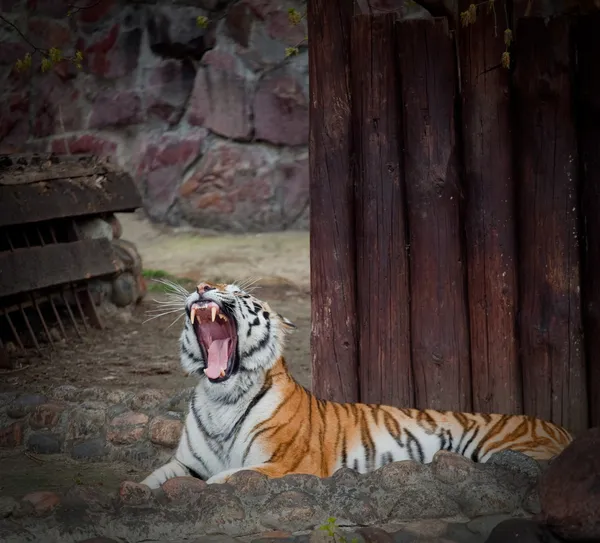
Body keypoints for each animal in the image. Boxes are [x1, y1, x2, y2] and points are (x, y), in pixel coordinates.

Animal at [138, 280, 576, 488]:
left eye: (238, 292)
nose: (202, 287)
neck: (221, 398)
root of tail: (564, 428)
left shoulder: (290, 464)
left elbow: (225, 478)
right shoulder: (185, 463)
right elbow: (152, 478)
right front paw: (133, 493)